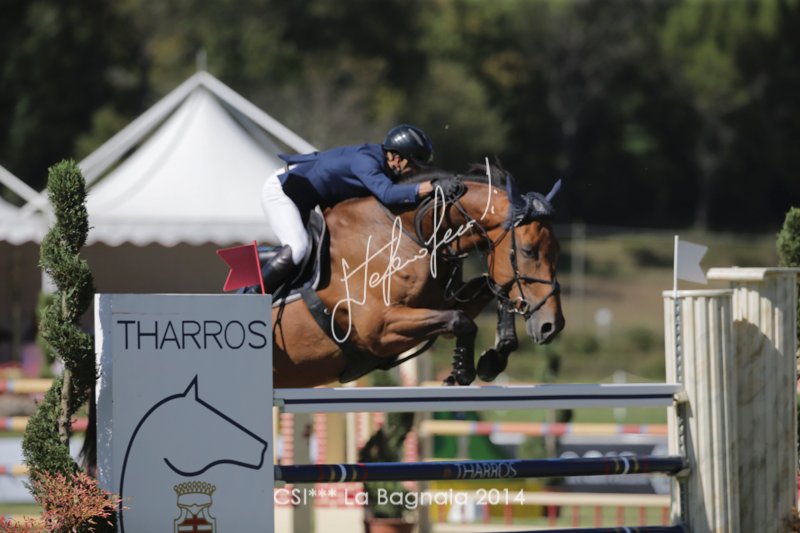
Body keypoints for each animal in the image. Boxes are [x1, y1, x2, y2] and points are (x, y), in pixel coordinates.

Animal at [271, 163, 564, 388]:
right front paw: (462, 372)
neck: (408, 232)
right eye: (528, 251)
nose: (552, 326)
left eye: (557, 251)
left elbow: (490, 290)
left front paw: (494, 358)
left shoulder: (440, 303)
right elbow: (461, 320)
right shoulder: (378, 329)